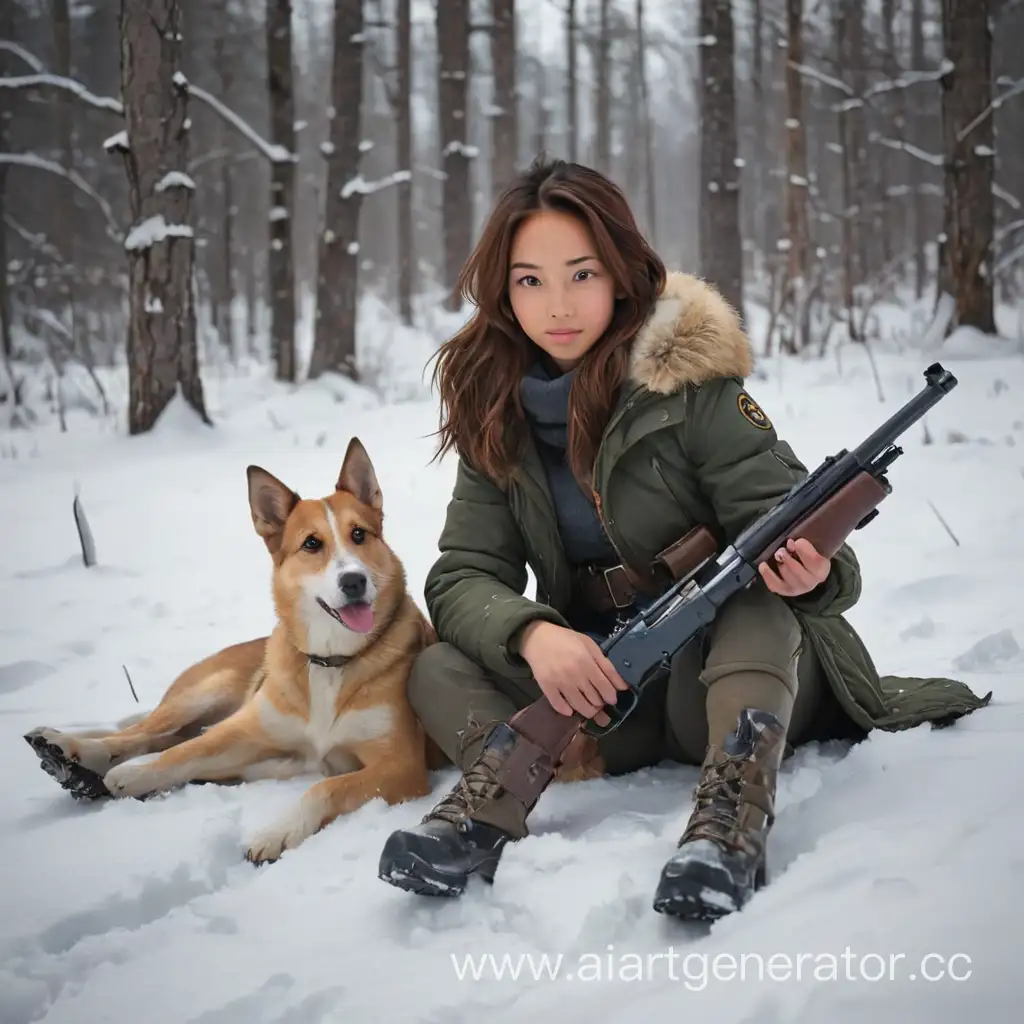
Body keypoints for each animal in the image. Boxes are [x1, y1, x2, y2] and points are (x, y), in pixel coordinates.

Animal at [23, 440, 448, 864]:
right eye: (312, 543)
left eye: (359, 534)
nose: (354, 581)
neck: (329, 662)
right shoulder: (246, 730)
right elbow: (186, 752)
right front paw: (135, 774)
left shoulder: (401, 766)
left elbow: (324, 787)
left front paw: (276, 833)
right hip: (205, 694)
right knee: (142, 734)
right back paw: (69, 749)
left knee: (158, 737)